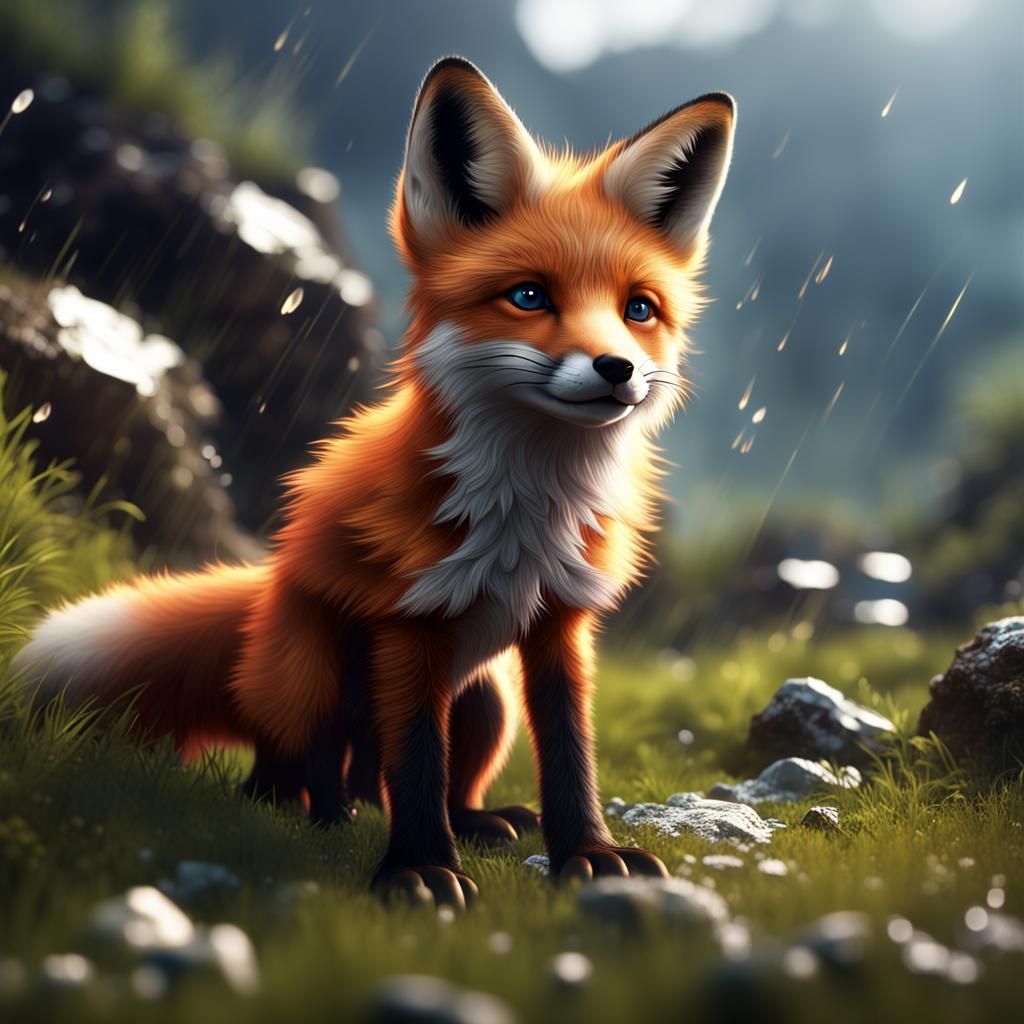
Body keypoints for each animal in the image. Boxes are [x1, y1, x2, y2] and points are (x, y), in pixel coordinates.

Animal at [12, 57, 736, 908]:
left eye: (638, 309)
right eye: (529, 296)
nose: (617, 368)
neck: (524, 513)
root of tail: (264, 593)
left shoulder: (560, 623)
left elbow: (569, 752)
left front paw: (588, 854)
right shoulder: (409, 624)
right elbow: (415, 764)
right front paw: (419, 871)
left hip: (486, 700)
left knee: (410, 774)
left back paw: (477, 821)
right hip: (315, 676)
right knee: (305, 768)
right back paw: (318, 814)